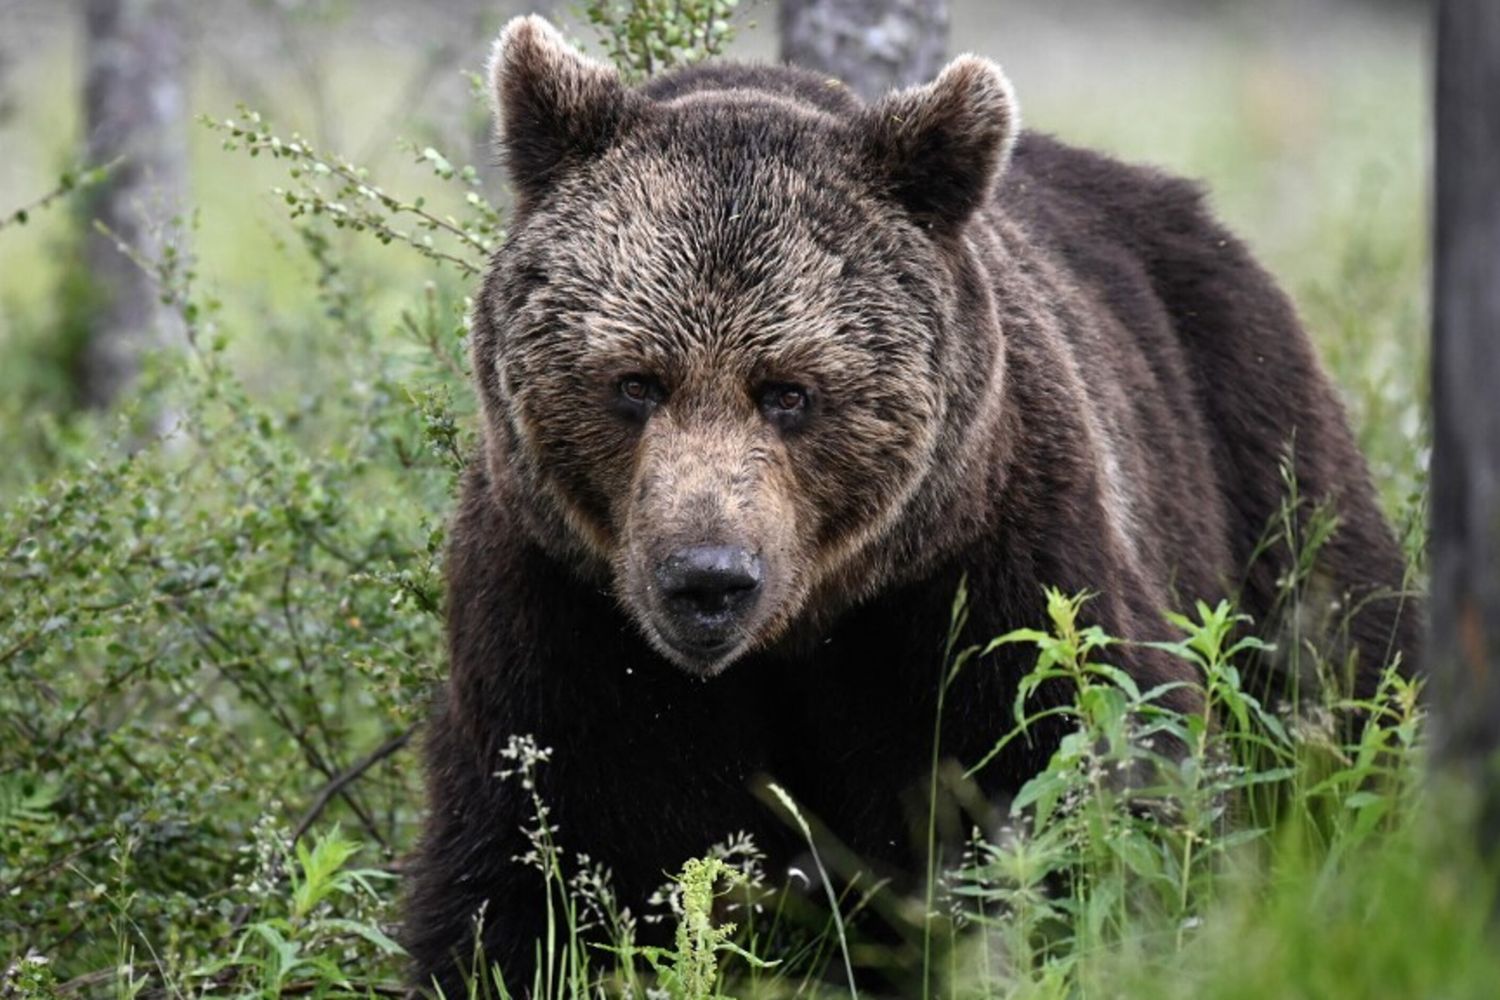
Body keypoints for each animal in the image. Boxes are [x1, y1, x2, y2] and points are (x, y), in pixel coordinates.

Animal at [403, 15, 1420, 995]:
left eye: (790, 391)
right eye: (635, 382)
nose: (707, 579)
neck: (797, 637)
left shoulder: (982, 579)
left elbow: (1078, 785)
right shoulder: (564, 617)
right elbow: (532, 860)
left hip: (1255, 445)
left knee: (1341, 665)